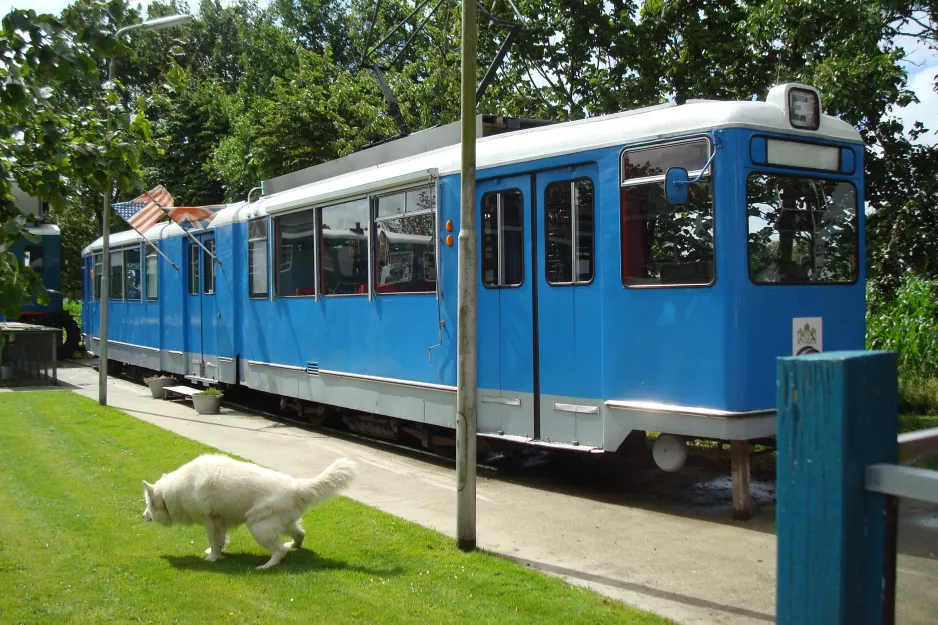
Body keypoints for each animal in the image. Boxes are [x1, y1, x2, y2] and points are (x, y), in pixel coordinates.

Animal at [141, 450, 356, 568]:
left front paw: (213, 558)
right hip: (281, 524)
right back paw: (293, 546)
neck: (175, 491)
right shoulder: (220, 522)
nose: (143, 516)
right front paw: (219, 552)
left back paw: (266, 566)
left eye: (147, 505)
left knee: (279, 551)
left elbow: (215, 541)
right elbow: (221, 540)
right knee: (299, 535)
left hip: (257, 527)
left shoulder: (211, 522)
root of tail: (297, 486)